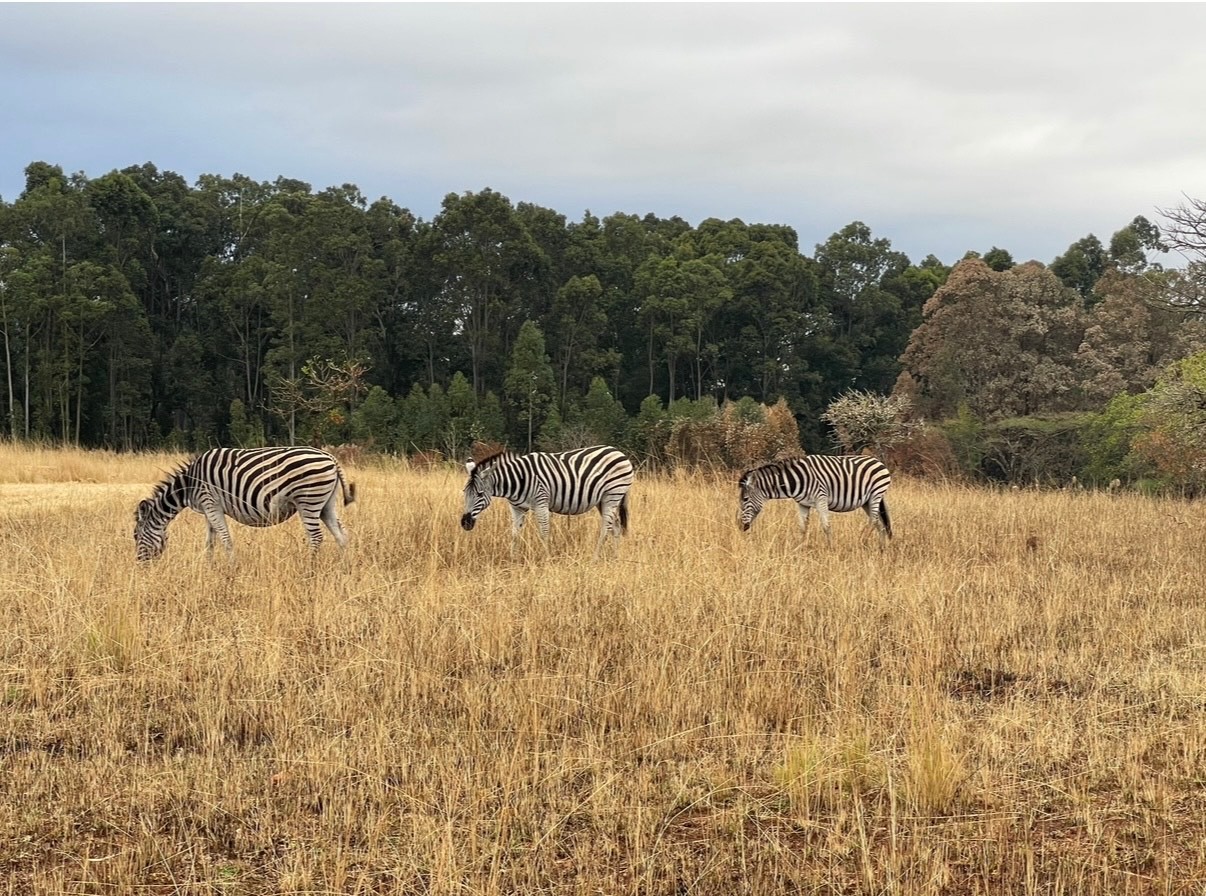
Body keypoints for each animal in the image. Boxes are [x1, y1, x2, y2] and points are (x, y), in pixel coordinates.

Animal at [134, 446, 356, 561]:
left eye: (136, 536)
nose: (140, 567)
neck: (189, 484)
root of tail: (331, 457)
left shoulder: (211, 503)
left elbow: (225, 539)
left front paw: (231, 569)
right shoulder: (208, 508)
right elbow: (210, 541)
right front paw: (209, 566)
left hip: (308, 500)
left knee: (316, 537)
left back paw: (308, 570)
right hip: (325, 503)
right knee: (342, 536)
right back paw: (344, 566)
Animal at [460, 445, 633, 554]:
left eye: (480, 494)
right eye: (464, 493)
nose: (465, 523)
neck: (518, 480)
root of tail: (618, 452)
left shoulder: (541, 503)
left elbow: (544, 532)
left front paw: (546, 559)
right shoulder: (517, 508)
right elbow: (515, 535)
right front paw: (513, 559)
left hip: (612, 494)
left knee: (606, 528)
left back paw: (595, 559)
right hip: (602, 501)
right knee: (615, 527)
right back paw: (614, 558)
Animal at [738, 454, 892, 545]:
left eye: (745, 499)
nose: (740, 526)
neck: (797, 479)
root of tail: (877, 460)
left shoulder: (821, 499)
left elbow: (826, 526)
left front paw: (831, 548)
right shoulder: (802, 503)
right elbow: (802, 527)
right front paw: (800, 548)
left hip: (875, 494)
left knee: (874, 520)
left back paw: (861, 541)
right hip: (866, 501)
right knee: (879, 523)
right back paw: (881, 549)